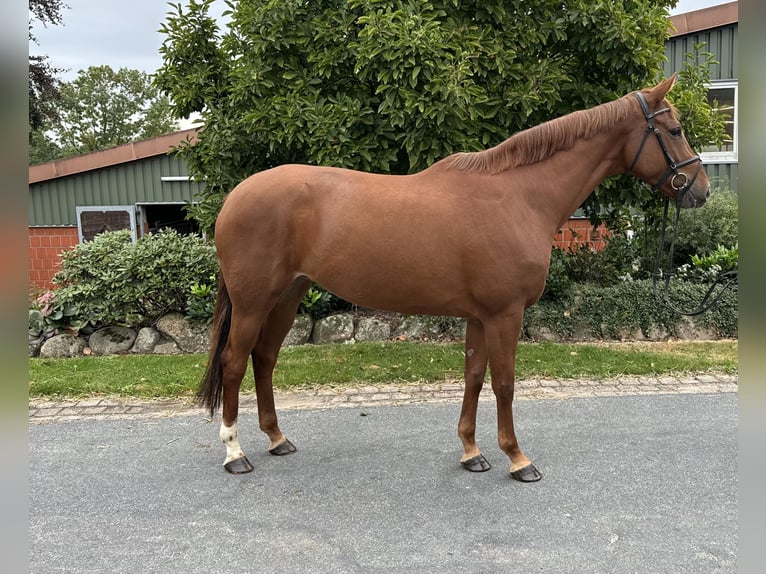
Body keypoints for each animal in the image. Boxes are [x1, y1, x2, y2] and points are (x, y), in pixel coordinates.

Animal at [200, 76, 712, 482]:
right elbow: (504, 383)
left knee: (264, 359)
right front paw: (518, 459)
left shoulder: (480, 316)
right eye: (674, 130)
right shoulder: (505, 314)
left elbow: (474, 377)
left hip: (288, 295)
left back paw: (276, 438)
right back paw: (235, 452)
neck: (519, 196)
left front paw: (471, 452)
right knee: (234, 361)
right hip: (253, 301)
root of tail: (235, 197)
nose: (701, 190)